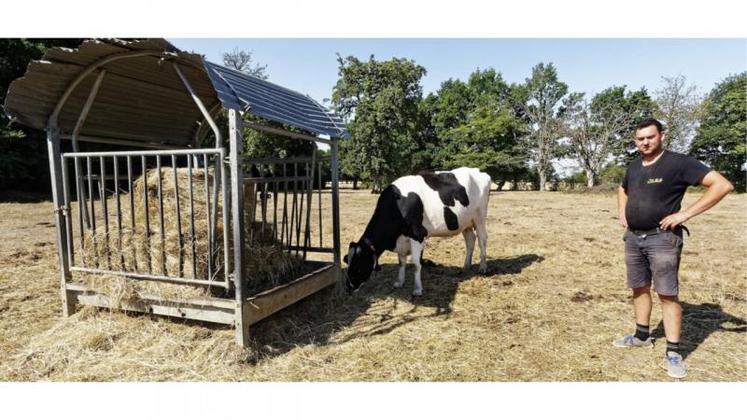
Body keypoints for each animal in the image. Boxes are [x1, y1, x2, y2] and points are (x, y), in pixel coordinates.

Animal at [344, 167, 490, 296]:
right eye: (348, 262)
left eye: (358, 266)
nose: (348, 287)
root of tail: (478, 171)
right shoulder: (402, 239)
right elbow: (401, 262)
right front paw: (399, 282)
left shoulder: (417, 235)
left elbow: (416, 264)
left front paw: (418, 289)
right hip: (465, 223)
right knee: (470, 240)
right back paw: (466, 266)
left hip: (480, 218)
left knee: (482, 239)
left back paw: (483, 267)